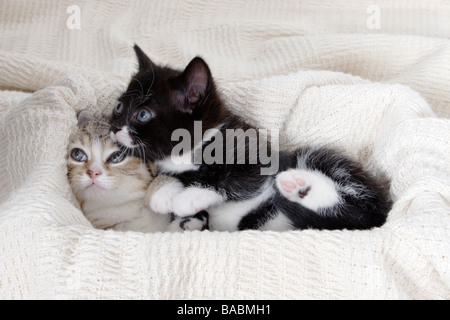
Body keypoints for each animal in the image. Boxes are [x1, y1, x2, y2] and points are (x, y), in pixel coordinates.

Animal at [109, 44, 390, 230]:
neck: (189, 154)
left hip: (316, 161)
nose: (114, 127)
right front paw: (163, 193)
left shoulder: (258, 154)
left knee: (357, 215)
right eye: (119, 107)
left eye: (143, 114)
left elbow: (234, 178)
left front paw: (190, 196)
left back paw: (299, 185)